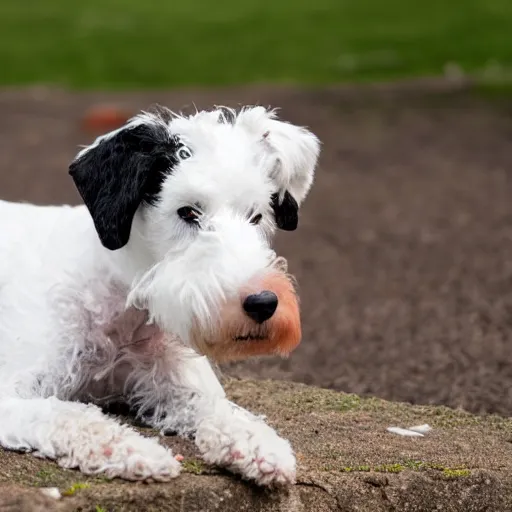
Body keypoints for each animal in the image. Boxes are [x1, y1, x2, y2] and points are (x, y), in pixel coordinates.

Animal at [0, 103, 320, 484]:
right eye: (188, 211)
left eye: (256, 216)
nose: (263, 303)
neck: (121, 303)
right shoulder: (10, 396)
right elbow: (68, 416)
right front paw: (134, 451)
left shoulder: (173, 385)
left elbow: (220, 409)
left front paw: (259, 443)